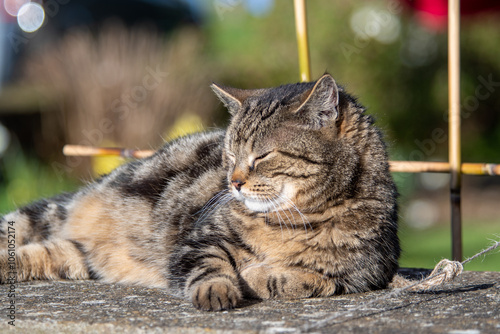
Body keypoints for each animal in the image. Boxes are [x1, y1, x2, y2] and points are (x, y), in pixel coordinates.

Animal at [0, 73, 398, 310]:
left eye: (262, 156)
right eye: (230, 154)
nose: (234, 182)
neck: (292, 221)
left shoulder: (366, 274)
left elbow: (309, 281)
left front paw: (259, 274)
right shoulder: (198, 239)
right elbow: (209, 265)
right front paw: (219, 289)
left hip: (76, 256)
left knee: (39, 255)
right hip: (51, 213)